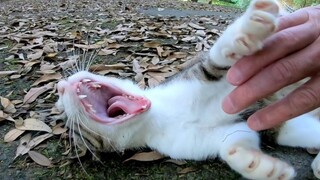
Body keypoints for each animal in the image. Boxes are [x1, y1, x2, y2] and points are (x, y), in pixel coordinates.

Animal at [56, 0, 320, 179]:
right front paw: (258, 165)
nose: (59, 86)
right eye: (75, 131)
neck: (160, 117)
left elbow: (214, 62)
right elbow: (234, 142)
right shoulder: (204, 139)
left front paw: (244, 34)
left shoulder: (196, 74)